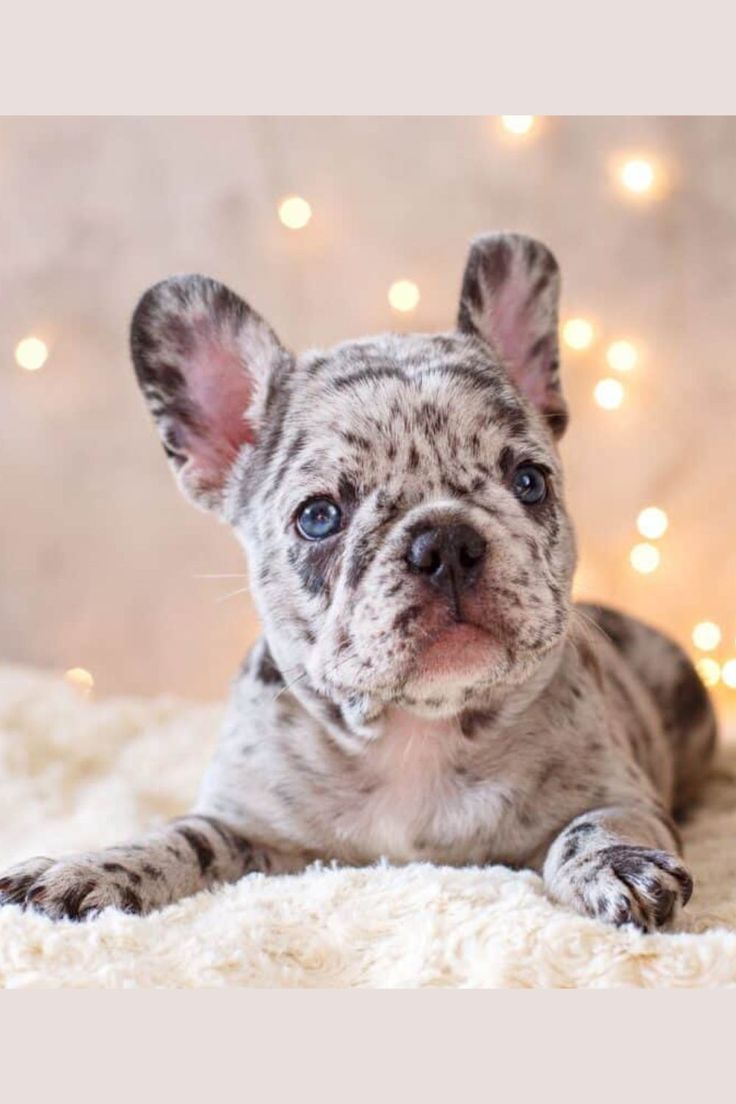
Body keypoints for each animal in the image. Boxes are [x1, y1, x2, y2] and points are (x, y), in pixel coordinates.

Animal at [0, 232, 715, 931]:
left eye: (530, 482)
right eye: (318, 517)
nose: (446, 542)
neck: (415, 734)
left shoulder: (622, 793)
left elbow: (593, 825)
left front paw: (616, 864)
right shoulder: (241, 821)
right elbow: (180, 838)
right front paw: (89, 868)